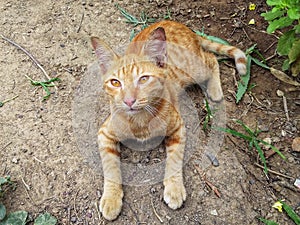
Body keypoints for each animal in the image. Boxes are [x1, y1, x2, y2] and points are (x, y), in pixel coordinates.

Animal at [91, 20, 246, 221]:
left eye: (143, 79)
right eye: (115, 83)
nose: (129, 101)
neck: (141, 120)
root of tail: (175, 22)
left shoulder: (178, 128)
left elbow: (174, 160)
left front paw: (174, 189)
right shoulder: (104, 133)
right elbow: (110, 167)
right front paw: (111, 198)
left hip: (194, 69)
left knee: (211, 58)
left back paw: (215, 90)